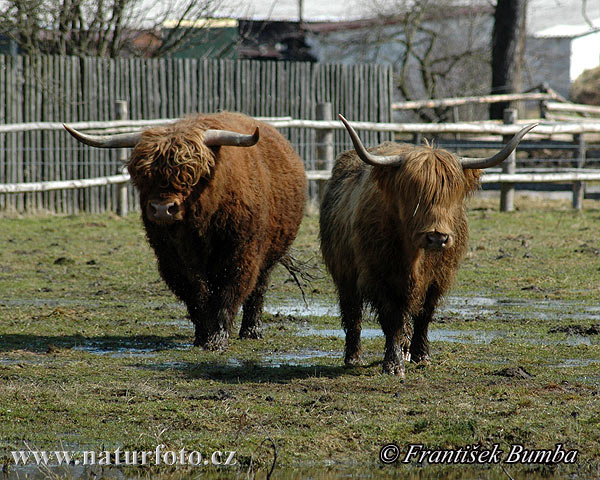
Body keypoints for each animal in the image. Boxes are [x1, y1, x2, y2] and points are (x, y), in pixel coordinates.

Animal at [67, 114, 304, 350]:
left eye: (191, 174)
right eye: (143, 175)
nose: (162, 209)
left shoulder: (240, 252)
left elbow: (229, 291)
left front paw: (217, 338)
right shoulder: (171, 257)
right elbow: (194, 292)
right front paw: (202, 334)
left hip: (270, 254)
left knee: (258, 288)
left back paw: (252, 331)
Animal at [322, 115, 536, 376]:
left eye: (451, 195)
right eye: (414, 194)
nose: (437, 238)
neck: (415, 256)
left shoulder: (438, 278)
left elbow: (424, 314)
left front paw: (420, 356)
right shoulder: (381, 277)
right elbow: (392, 319)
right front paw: (393, 365)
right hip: (344, 273)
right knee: (353, 314)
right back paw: (353, 358)